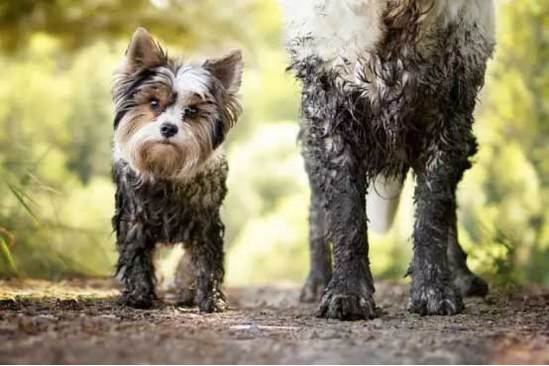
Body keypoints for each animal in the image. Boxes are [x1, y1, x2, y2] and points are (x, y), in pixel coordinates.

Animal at [110, 27, 241, 310]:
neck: (166, 169)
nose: (169, 128)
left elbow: (204, 260)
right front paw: (139, 294)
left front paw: (210, 298)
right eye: (154, 103)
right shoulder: (134, 218)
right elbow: (137, 254)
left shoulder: (205, 222)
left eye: (191, 111)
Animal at [280, 0, 494, 318]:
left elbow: (433, 214)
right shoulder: (330, 111)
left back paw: (461, 276)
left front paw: (433, 290)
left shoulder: (450, 110)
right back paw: (317, 282)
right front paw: (346, 293)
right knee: (318, 208)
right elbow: (346, 217)